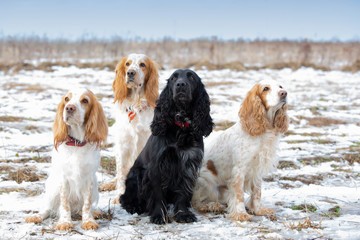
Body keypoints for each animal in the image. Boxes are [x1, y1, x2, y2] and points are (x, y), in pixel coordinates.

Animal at [119, 68, 212, 224]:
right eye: (174, 78)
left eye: (192, 77)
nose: (180, 84)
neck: (181, 125)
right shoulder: (157, 166)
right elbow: (158, 194)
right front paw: (159, 215)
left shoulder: (188, 164)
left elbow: (183, 193)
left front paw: (183, 214)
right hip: (135, 174)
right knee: (124, 198)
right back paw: (135, 207)